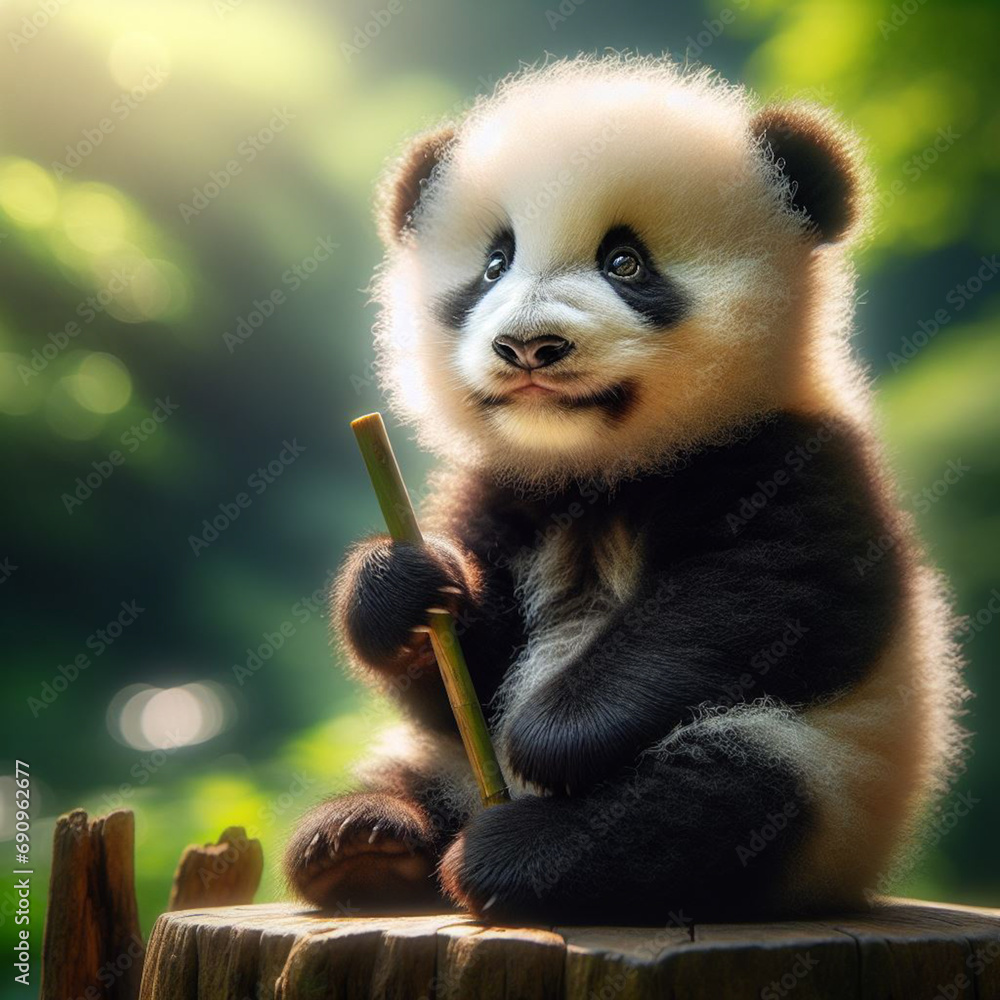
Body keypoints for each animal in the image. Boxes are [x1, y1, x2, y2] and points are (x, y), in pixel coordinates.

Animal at [284, 55, 966, 924]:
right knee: (415, 768)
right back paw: (365, 841)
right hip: (440, 763)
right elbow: (463, 675)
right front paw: (402, 587)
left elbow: (752, 598)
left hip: (830, 783)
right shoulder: (502, 492)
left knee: (713, 801)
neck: (600, 468)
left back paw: (516, 853)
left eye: (626, 263)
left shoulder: (794, 460)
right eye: (494, 265)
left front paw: (547, 733)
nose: (528, 346)